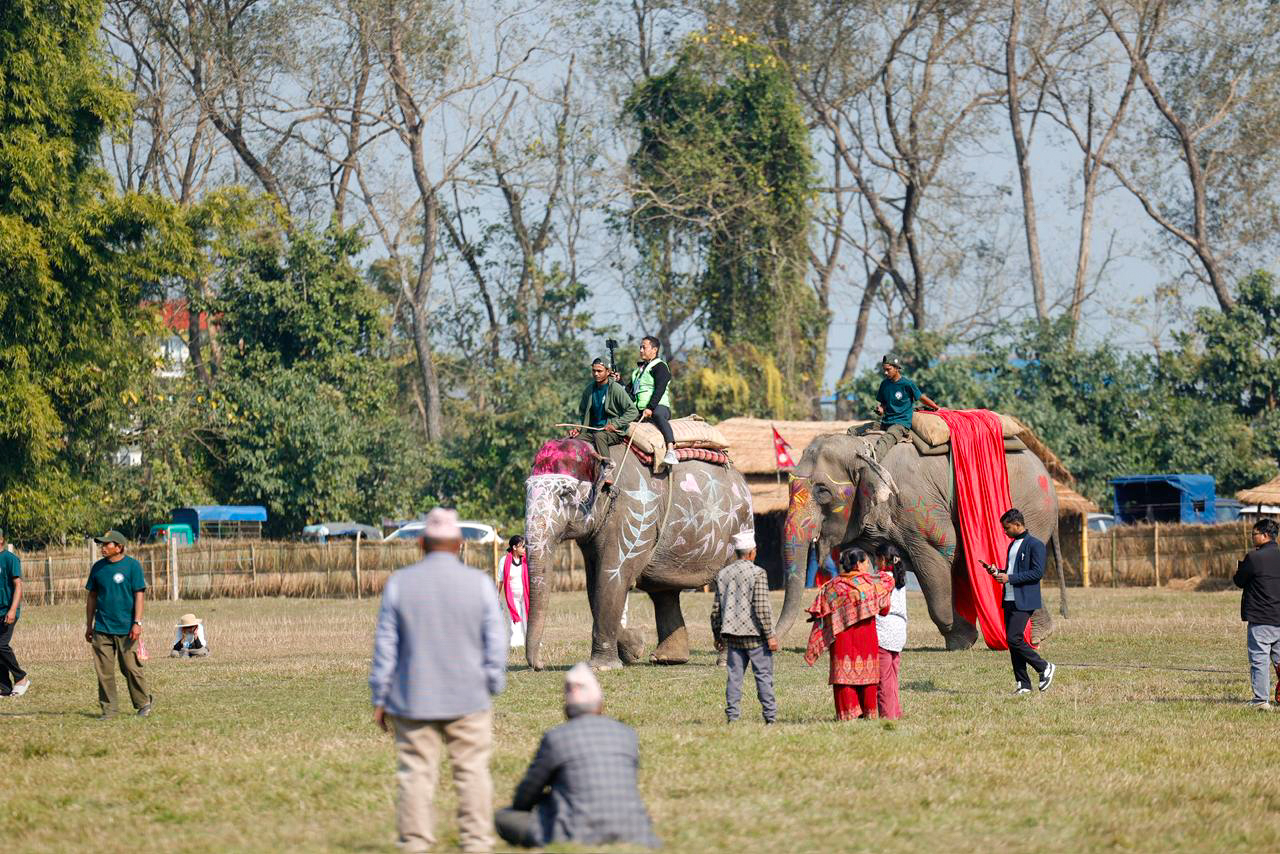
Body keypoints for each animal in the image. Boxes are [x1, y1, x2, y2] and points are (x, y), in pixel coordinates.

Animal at [522, 438, 799, 671]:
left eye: (565, 493)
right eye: (526, 490)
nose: (541, 665)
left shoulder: (632, 513)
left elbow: (612, 579)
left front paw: (603, 667)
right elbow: (595, 585)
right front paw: (634, 649)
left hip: (738, 526)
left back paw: (722, 662)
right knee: (663, 592)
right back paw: (667, 659)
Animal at [775, 430, 1067, 649]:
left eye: (822, 491)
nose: (773, 643)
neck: (865, 449)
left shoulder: (918, 508)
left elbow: (939, 555)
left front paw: (960, 640)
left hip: (1031, 508)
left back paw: (1034, 636)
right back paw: (1038, 634)